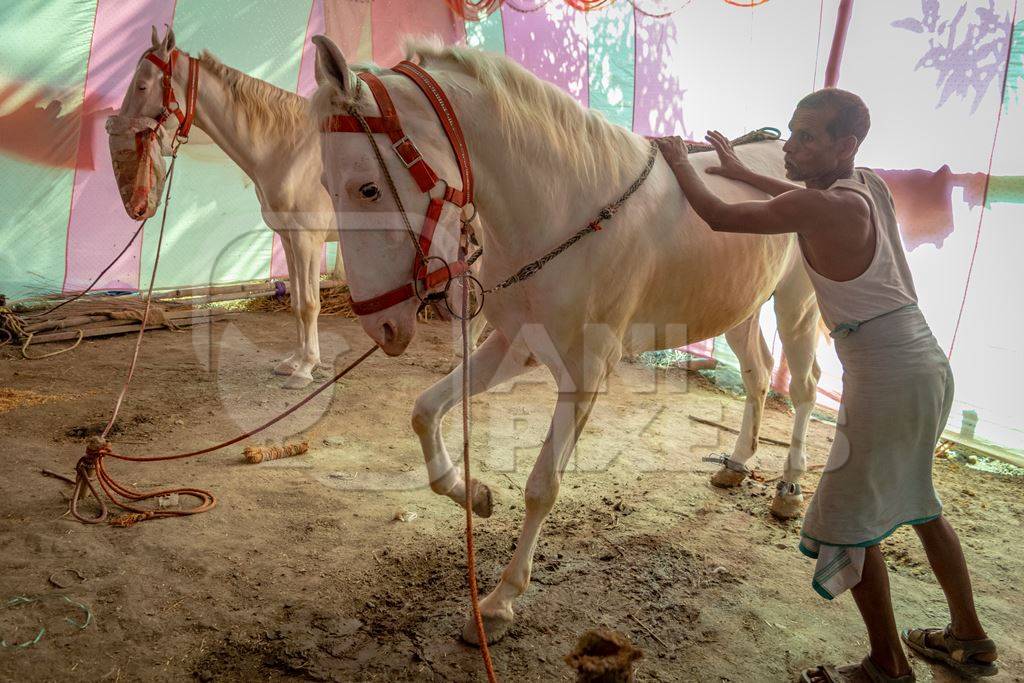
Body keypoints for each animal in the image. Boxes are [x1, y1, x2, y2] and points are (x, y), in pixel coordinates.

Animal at [311, 38, 823, 647]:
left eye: (367, 187)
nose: (382, 327)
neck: (565, 209)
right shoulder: (513, 345)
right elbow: (424, 411)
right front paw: (475, 493)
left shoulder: (585, 374)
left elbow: (542, 486)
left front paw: (498, 604)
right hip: (739, 307)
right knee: (758, 374)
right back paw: (738, 463)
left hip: (797, 301)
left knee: (805, 386)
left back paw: (789, 490)